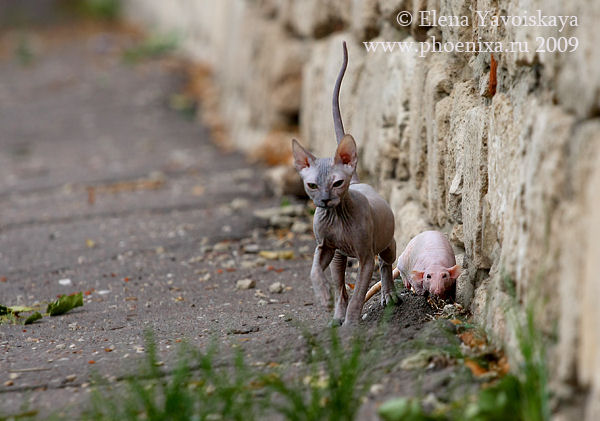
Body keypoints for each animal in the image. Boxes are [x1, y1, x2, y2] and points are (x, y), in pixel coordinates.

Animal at [290, 41, 398, 324]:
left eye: (337, 183)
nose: (325, 200)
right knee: (341, 284)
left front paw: (352, 322)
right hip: (339, 257)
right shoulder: (323, 247)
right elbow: (315, 271)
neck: (337, 217)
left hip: (386, 244)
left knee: (386, 263)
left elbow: (360, 291)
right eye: (312, 185)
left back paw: (388, 295)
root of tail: (360, 183)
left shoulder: (365, 257)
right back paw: (336, 313)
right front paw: (323, 296)